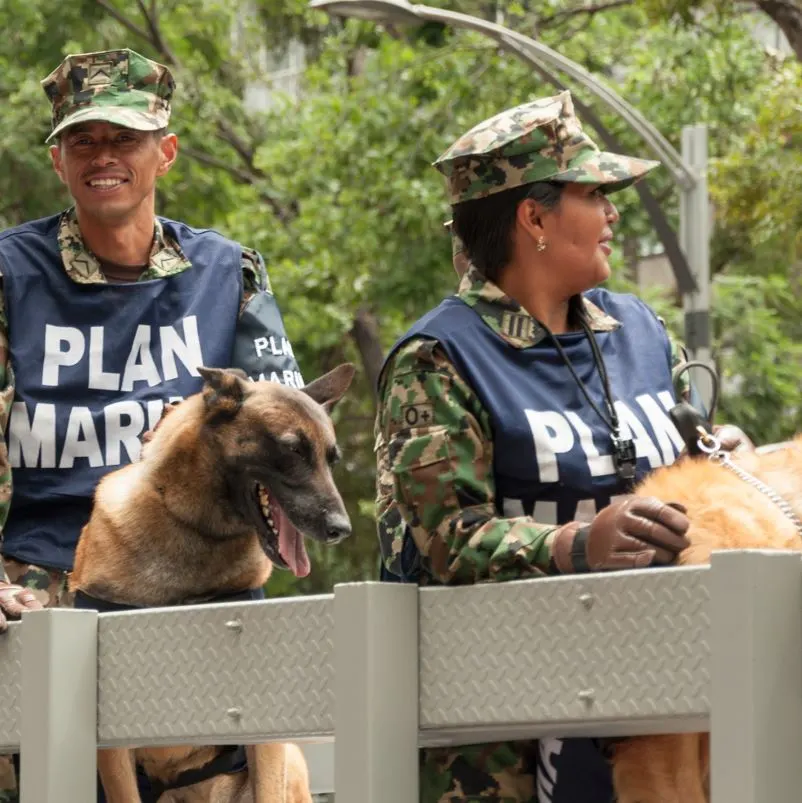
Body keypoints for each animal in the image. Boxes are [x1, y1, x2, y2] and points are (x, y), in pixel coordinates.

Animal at [67, 364, 354, 803]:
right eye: (293, 450)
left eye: (331, 459)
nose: (342, 529)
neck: (196, 529)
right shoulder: (112, 747)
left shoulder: (264, 732)